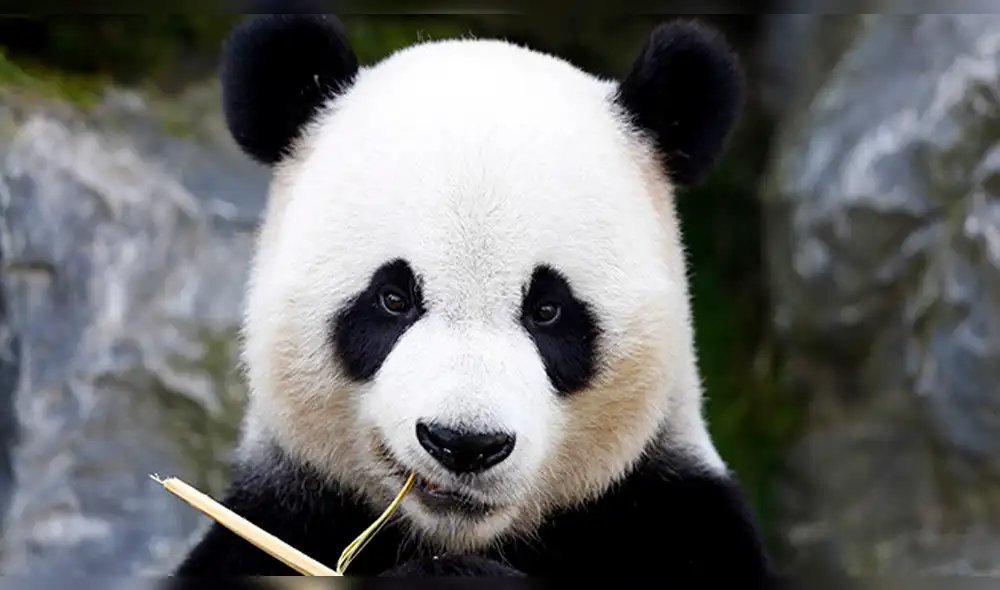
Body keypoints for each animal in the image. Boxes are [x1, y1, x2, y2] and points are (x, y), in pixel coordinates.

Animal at [170, 9, 773, 584]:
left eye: (548, 310)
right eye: (393, 299)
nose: (464, 443)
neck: (456, 536)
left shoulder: (675, 517)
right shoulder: (275, 520)